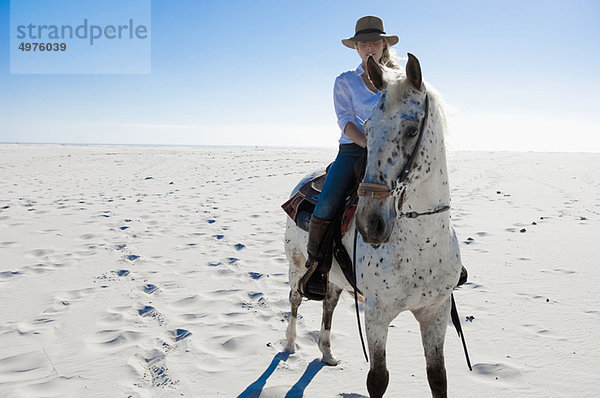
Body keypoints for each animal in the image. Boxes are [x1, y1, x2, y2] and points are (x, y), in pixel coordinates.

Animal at [284, 53, 462, 398]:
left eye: (411, 130)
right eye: (367, 127)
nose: (371, 223)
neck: (422, 244)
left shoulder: (435, 311)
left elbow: (438, 377)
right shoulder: (378, 314)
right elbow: (378, 379)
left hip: (334, 277)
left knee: (328, 303)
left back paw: (326, 353)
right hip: (297, 267)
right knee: (295, 299)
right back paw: (289, 345)